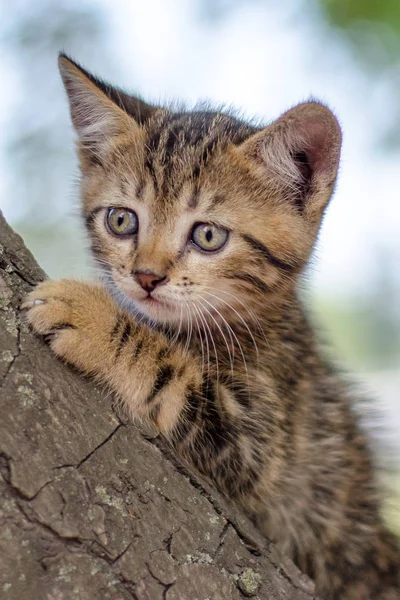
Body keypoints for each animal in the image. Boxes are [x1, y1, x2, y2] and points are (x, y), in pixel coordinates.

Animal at [22, 54, 400, 596]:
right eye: (121, 220)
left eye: (207, 235)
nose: (146, 277)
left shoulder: (263, 448)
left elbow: (174, 375)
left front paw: (90, 315)